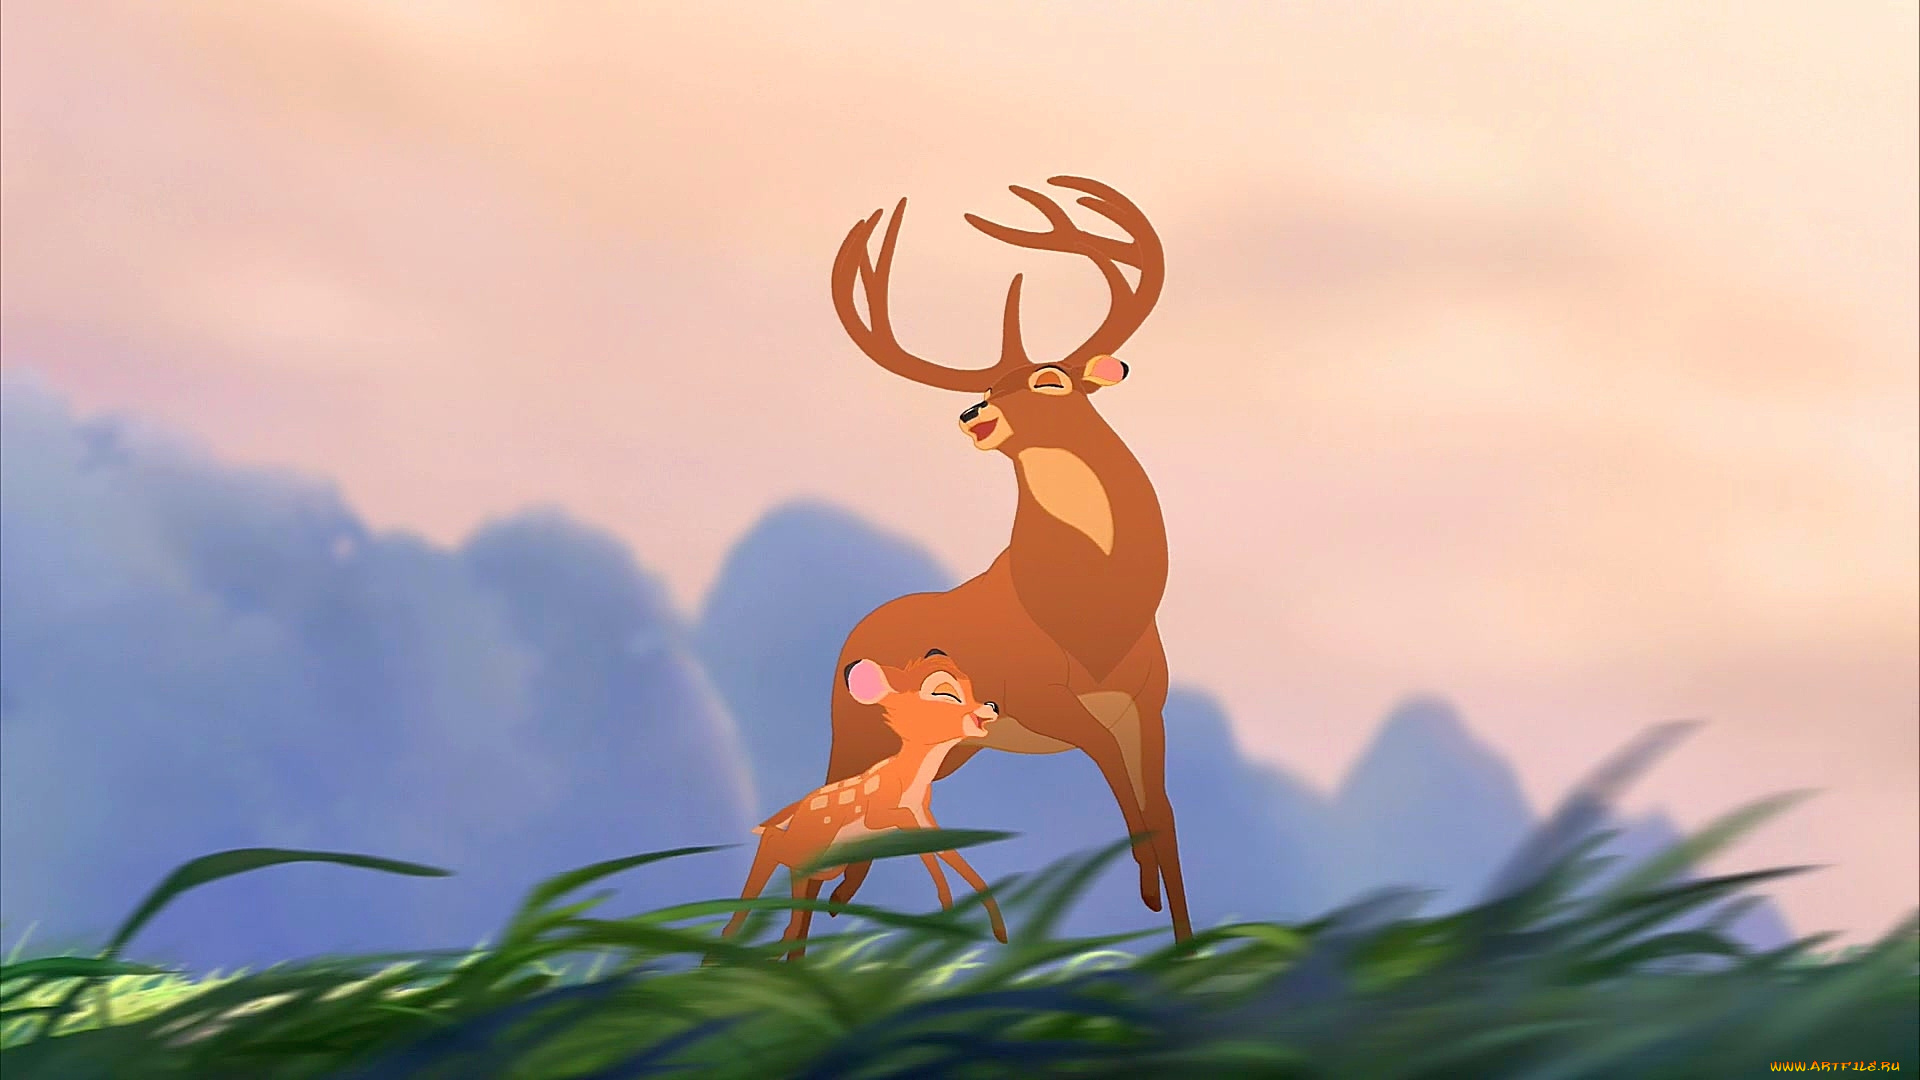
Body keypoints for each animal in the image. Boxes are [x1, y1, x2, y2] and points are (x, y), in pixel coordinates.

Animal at [718, 651, 1011, 961]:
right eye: (944, 693)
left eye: (970, 686)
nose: (991, 705)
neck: (909, 780)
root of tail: (799, 808)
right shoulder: (880, 814)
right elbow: (913, 834)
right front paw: (948, 910)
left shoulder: (925, 814)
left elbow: (948, 851)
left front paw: (996, 930)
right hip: (808, 843)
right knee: (772, 840)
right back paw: (727, 943)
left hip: (820, 859)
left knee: (795, 888)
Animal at [817, 175, 1193, 943]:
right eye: (986, 389)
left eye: (1051, 379)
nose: (973, 415)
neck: (1091, 619)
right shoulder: (1039, 698)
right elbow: (1125, 794)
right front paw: (1141, 890)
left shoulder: (1148, 704)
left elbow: (1166, 821)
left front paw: (1183, 941)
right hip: (853, 735)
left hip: (947, 753)